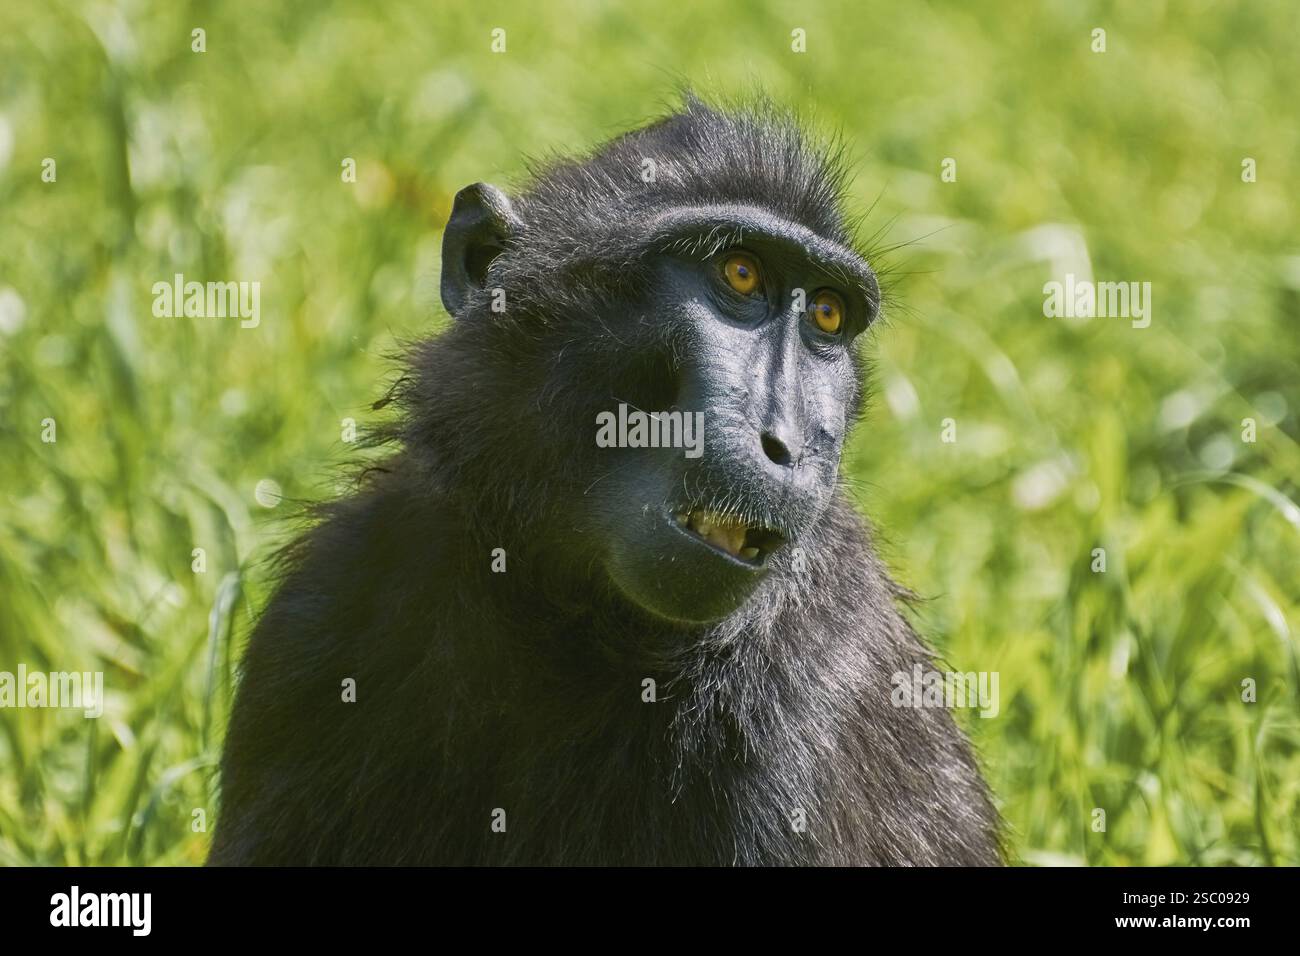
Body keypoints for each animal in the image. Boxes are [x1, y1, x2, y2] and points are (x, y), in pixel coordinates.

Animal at [208, 95, 1002, 866]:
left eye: (828, 317)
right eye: (740, 274)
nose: (788, 445)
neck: (564, 619)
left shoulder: (805, 699)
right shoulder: (322, 615)